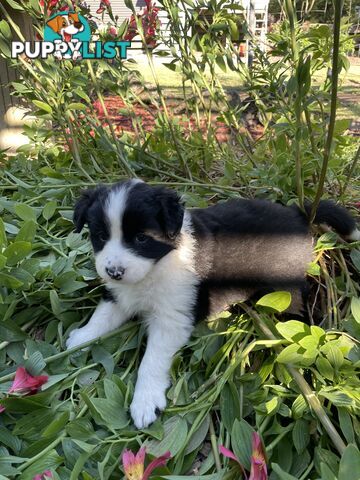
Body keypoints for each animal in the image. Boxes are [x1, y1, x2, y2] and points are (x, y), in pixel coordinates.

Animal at [66, 180, 358, 428]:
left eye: (140, 238)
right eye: (100, 236)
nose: (114, 272)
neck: (158, 265)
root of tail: (299, 214)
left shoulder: (172, 319)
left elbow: (152, 359)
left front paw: (145, 401)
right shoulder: (120, 294)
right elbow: (101, 317)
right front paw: (80, 339)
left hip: (284, 285)